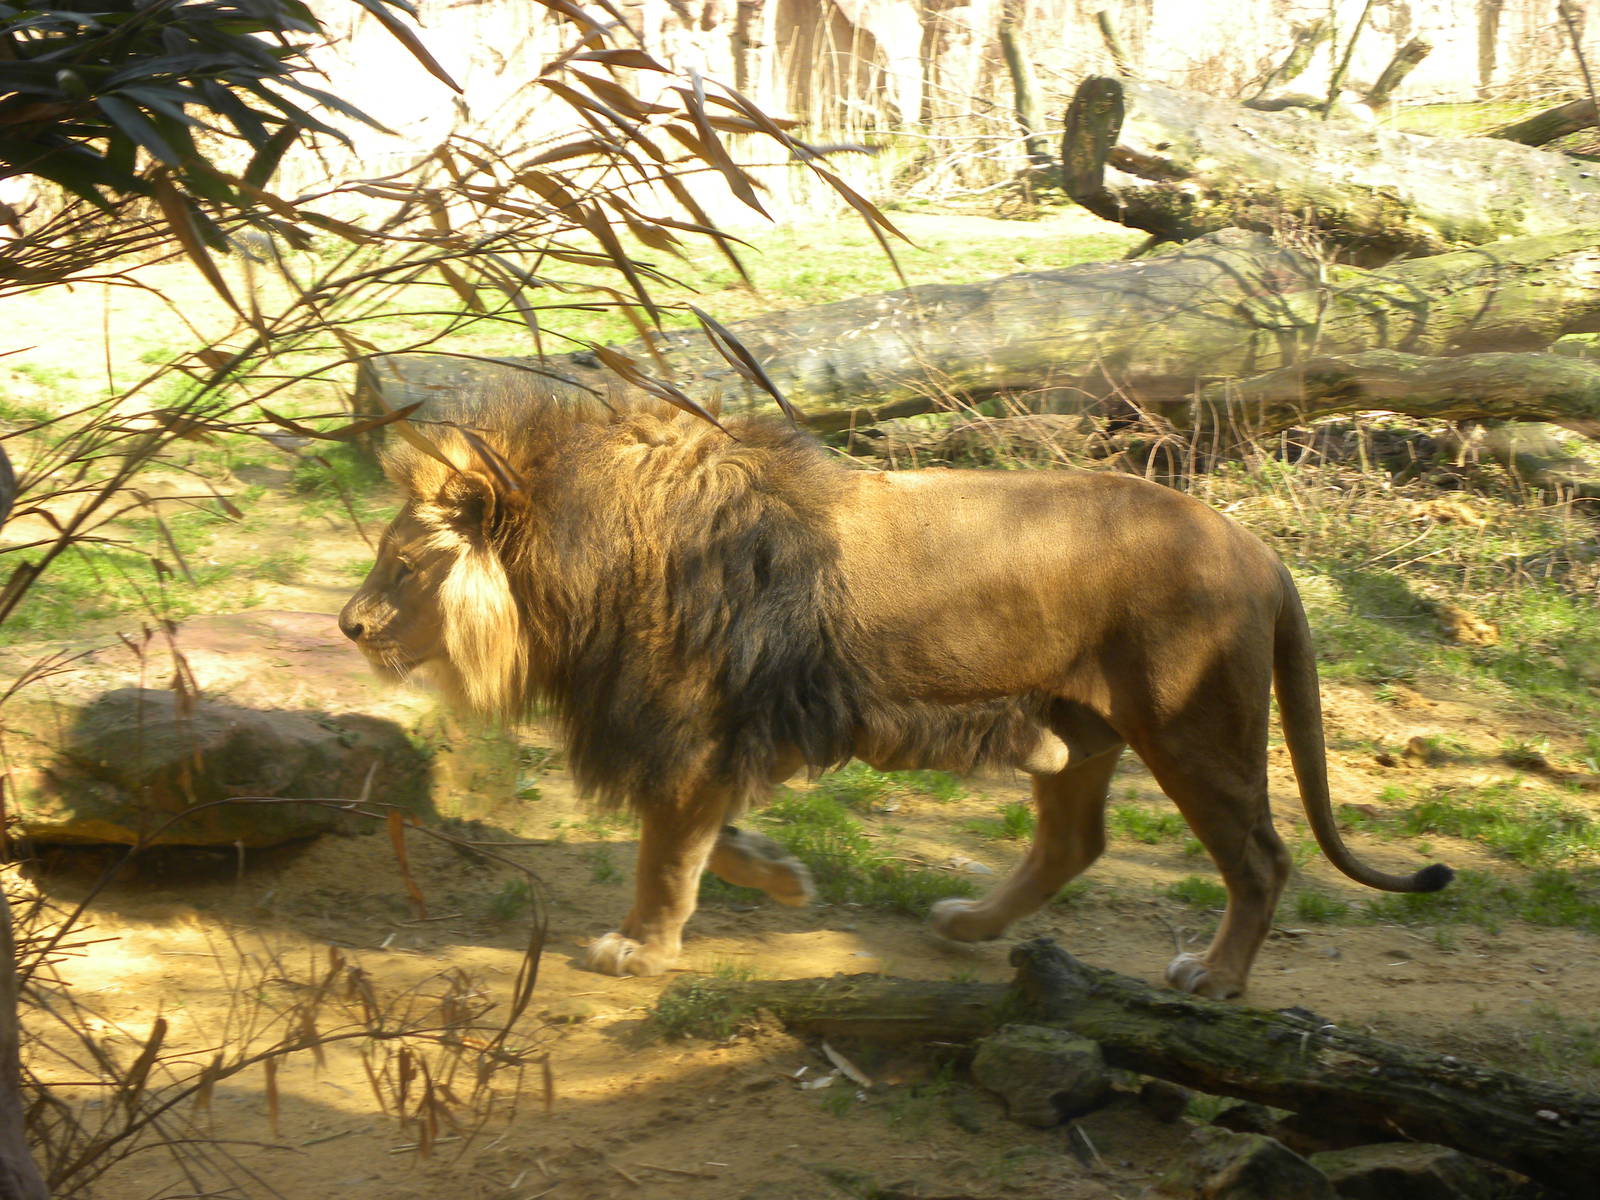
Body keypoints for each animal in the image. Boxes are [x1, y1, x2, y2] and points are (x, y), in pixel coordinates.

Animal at [339, 388, 1452, 999]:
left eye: (401, 565)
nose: (347, 626)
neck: (578, 564)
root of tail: (1260, 550)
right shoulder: (718, 738)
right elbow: (706, 841)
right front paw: (783, 879)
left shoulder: (687, 730)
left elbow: (664, 855)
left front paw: (639, 949)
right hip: (1081, 728)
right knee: (1071, 843)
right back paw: (970, 926)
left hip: (1193, 728)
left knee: (1261, 859)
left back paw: (1214, 978)